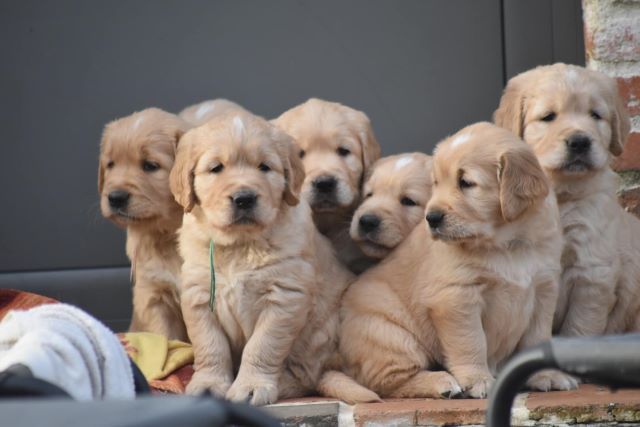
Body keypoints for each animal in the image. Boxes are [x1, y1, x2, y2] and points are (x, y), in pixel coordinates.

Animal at [97, 108, 188, 342]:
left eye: (150, 166)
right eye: (111, 164)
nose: (115, 197)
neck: (168, 234)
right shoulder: (154, 296)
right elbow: (166, 338)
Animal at [170, 112, 360, 406]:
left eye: (264, 167)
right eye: (216, 168)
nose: (244, 198)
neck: (239, 245)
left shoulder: (284, 296)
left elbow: (262, 346)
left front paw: (251, 386)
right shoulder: (198, 296)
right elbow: (210, 346)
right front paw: (208, 384)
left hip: (322, 332)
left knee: (307, 375)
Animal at [330, 122, 576, 402]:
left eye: (466, 183)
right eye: (436, 183)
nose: (432, 218)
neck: (506, 244)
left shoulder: (543, 290)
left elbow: (537, 339)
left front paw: (546, 375)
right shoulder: (457, 297)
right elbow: (471, 342)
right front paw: (478, 380)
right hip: (390, 336)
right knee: (386, 382)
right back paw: (441, 382)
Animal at [496, 64, 640, 338]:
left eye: (595, 115)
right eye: (548, 116)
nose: (580, 141)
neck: (559, 197)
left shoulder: (592, 271)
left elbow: (580, 328)